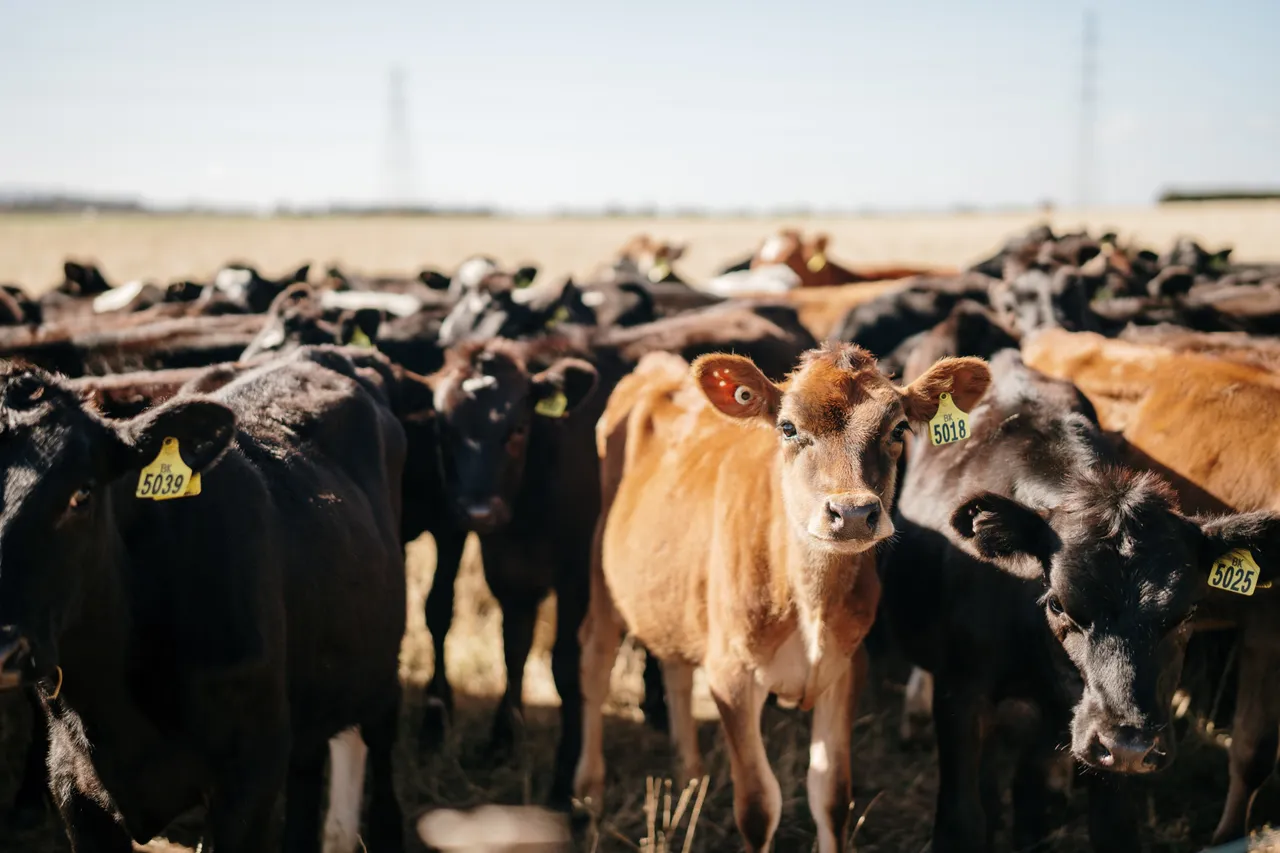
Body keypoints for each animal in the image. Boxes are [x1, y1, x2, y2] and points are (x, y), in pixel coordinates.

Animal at [574, 342, 990, 852]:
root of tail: (658, 366)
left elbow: (832, 796)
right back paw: (589, 793)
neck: (809, 601)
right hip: (602, 567)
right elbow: (758, 807)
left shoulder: (846, 666)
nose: (853, 513)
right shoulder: (732, 676)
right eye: (788, 427)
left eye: (898, 428)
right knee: (595, 659)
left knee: (675, 668)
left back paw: (690, 776)